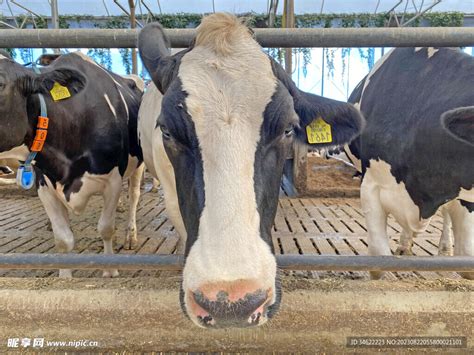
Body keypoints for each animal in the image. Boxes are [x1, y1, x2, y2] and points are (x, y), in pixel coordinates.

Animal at [0, 50, 144, 278]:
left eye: (0, 83)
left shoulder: (112, 180)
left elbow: (106, 228)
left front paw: (110, 271)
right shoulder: (45, 185)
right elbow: (63, 238)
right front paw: (65, 277)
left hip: (139, 164)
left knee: (134, 196)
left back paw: (130, 235)